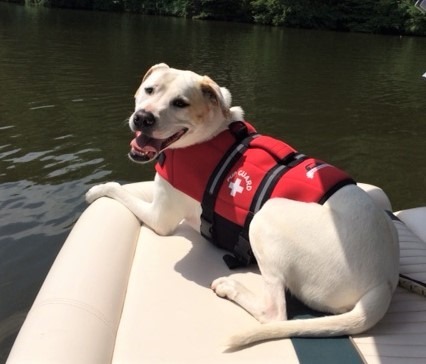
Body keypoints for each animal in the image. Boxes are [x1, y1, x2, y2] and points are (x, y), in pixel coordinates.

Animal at [86, 64, 400, 348]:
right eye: (149, 90)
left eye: (180, 103)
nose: (143, 118)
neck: (208, 135)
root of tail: (383, 281)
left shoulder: (160, 217)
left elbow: (117, 189)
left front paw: (96, 190)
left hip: (266, 218)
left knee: (274, 313)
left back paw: (230, 287)